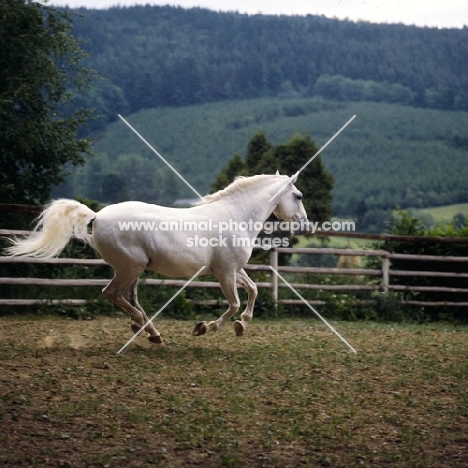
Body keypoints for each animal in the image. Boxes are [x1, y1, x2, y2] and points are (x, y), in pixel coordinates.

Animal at [7, 172, 308, 344]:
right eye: (298, 195)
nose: (304, 224)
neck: (236, 216)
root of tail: (97, 215)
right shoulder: (224, 272)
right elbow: (233, 304)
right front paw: (204, 328)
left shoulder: (234, 269)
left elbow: (254, 290)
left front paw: (242, 325)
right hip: (130, 268)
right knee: (112, 294)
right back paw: (144, 328)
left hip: (133, 270)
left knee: (129, 298)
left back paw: (149, 331)